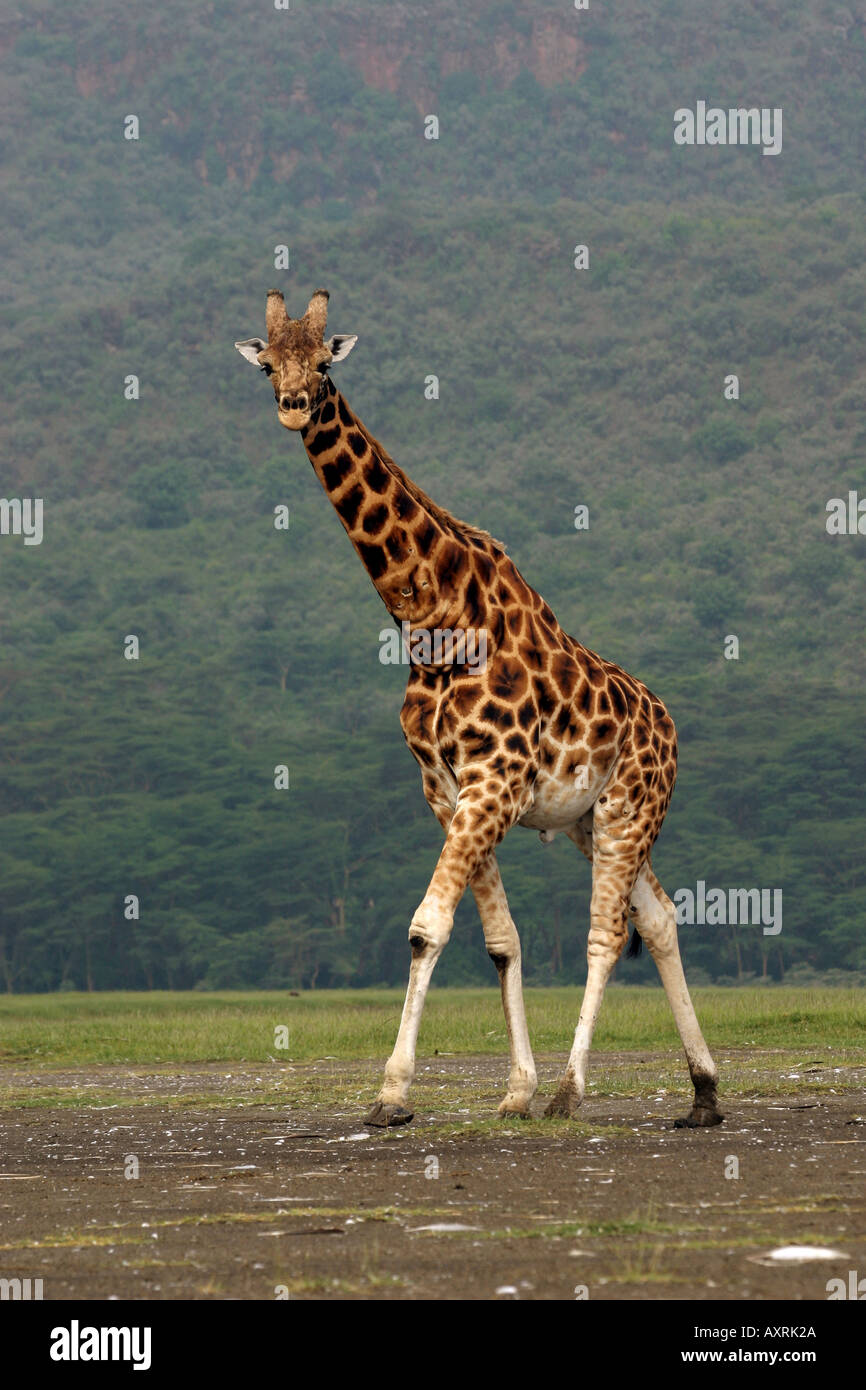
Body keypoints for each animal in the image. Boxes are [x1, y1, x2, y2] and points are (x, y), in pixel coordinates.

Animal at [235, 288, 723, 1131]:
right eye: (269, 363)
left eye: (325, 361)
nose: (294, 406)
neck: (428, 616)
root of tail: (666, 723)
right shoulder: (447, 789)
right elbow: (501, 941)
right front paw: (513, 1088)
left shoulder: (491, 783)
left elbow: (426, 928)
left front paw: (393, 1094)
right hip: (592, 820)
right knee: (659, 919)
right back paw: (702, 1092)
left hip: (631, 807)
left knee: (606, 933)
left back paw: (572, 1091)